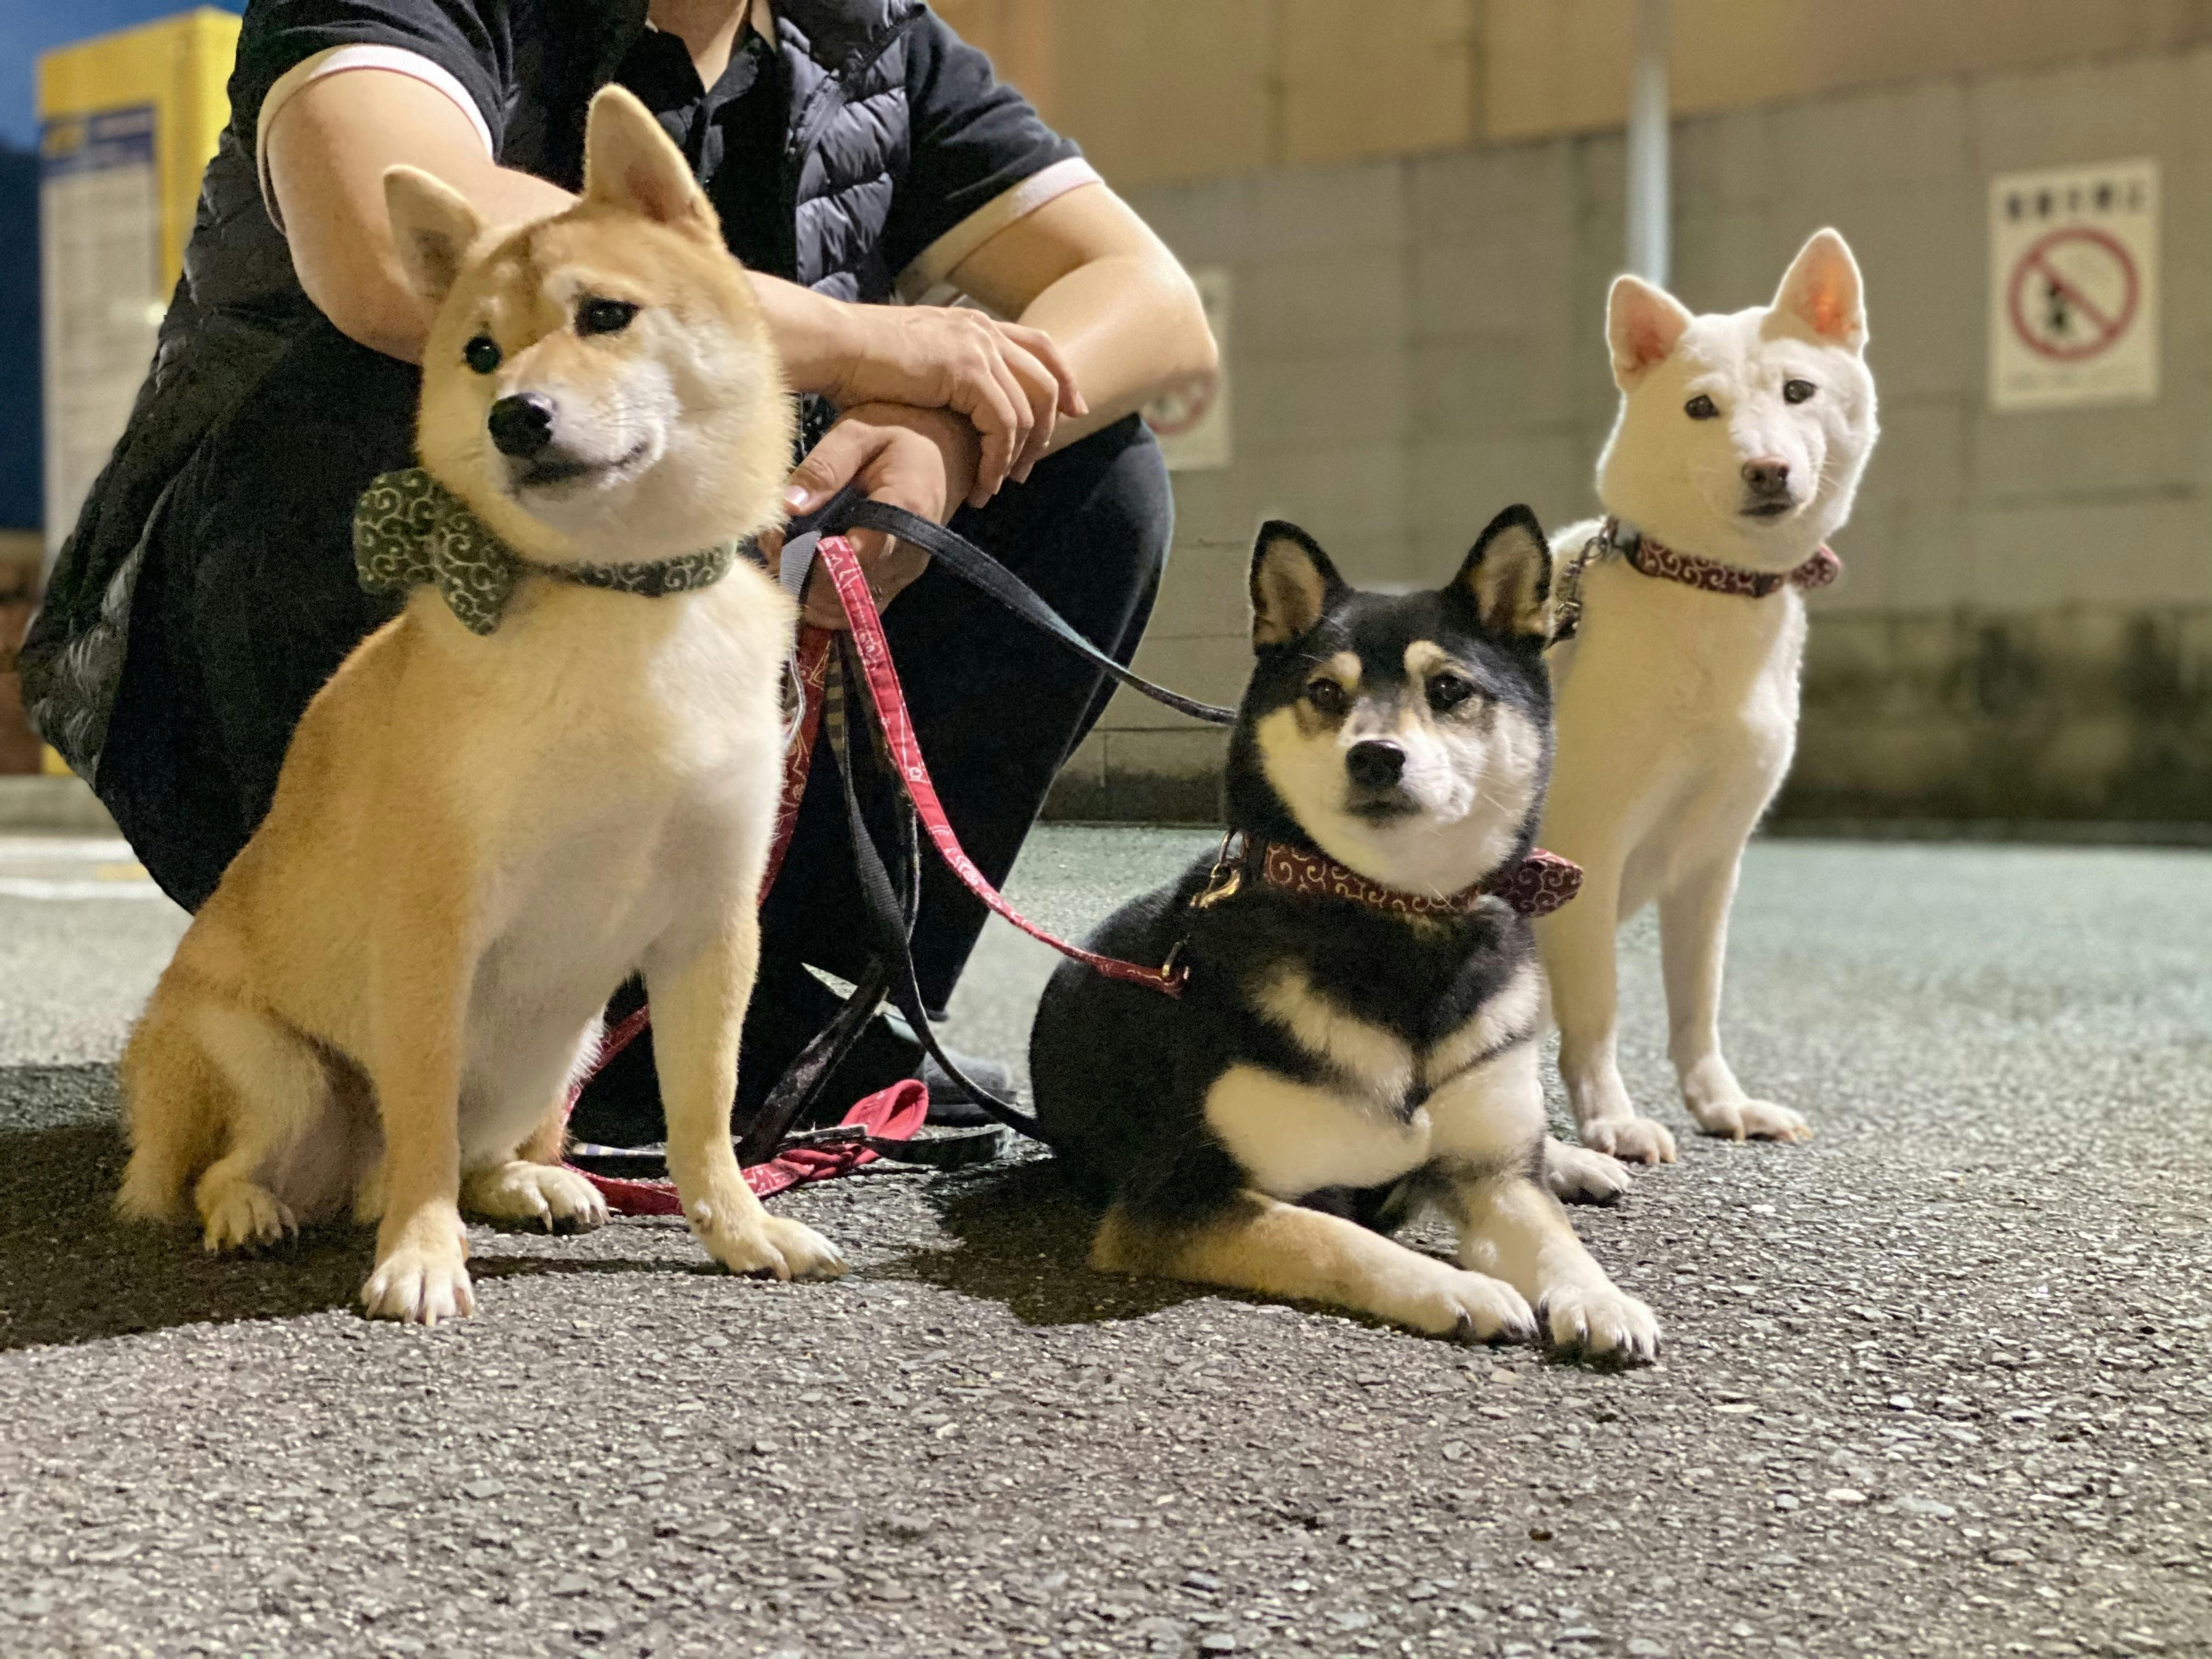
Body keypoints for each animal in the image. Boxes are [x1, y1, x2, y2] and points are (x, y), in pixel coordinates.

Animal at [115, 86, 845, 1322]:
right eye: (481, 353)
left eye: (606, 316)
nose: (516, 415)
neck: (617, 598)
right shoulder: (433, 927)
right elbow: (420, 1111)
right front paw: (419, 1253)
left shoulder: (710, 926)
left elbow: (702, 1115)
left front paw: (740, 1229)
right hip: (275, 1065)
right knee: (255, 1161)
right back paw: (261, 1207)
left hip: (569, 1039)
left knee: (493, 1142)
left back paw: (525, 1183)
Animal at [1028, 510, 1658, 1359]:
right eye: (1325, 692)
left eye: (1449, 689)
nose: (1377, 756)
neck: (1392, 915)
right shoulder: (1175, 1200)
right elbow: (1336, 1238)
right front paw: (1462, 1289)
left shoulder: (1494, 1178)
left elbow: (1555, 1235)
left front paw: (1601, 1297)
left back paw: (1575, 1162)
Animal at [1536, 228, 1879, 1167]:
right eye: (1699, 408)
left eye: (1798, 391)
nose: (1767, 469)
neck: (1706, 585)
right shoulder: (1585, 850)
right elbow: (1601, 1008)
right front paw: (1611, 1119)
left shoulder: (1711, 859)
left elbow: (1699, 1007)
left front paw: (1720, 1104)